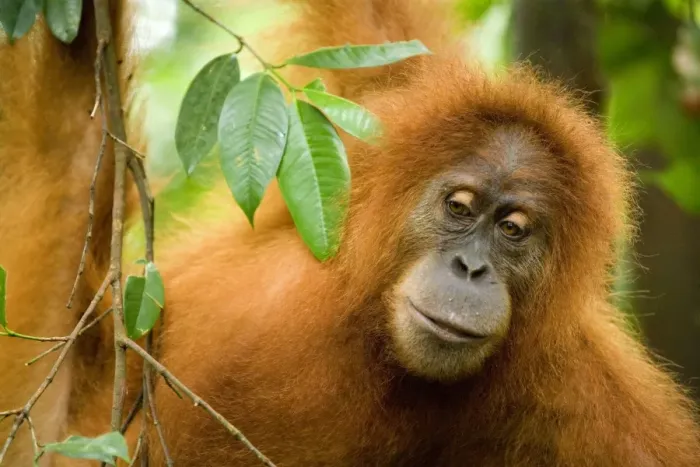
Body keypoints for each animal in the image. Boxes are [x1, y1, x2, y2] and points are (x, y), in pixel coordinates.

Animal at [1, 0, 699, 466]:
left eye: (514, 230)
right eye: (459, 207)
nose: (470, 268)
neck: (377, 339)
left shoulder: (584, 393)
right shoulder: (382, 114)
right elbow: (376, 19)